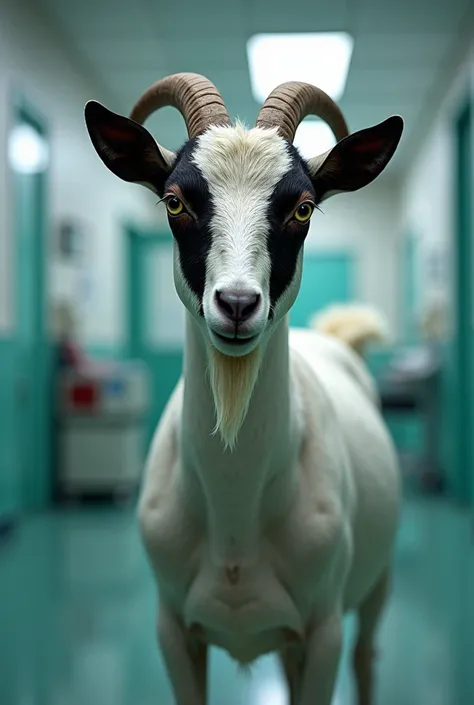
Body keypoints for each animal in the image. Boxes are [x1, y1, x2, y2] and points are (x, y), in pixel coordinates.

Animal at [84, 73, 404, 704]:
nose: (236, 304)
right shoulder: (173, 629)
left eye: (302, 207)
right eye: (175, 200)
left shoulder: (323, 631)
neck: (236, 518)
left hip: (376, 584)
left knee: (367, 657)